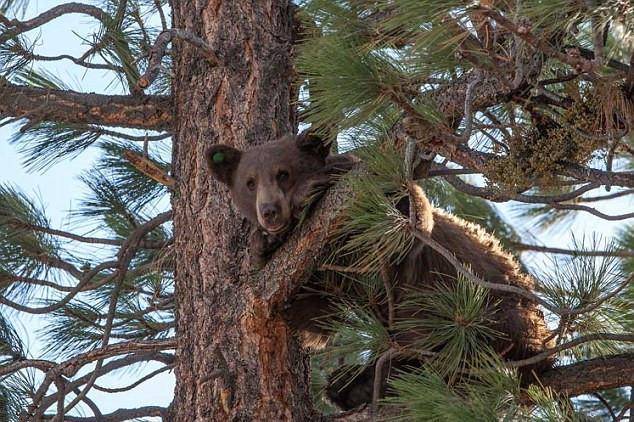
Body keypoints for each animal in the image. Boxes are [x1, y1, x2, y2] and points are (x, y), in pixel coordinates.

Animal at [205, 131, 552, 408]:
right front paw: (263, 245)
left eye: (283, 173)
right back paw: (351, 385)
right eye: (249, 182)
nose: (270, 212)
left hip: (488, 306)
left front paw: (313, 187)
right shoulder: (322, 268)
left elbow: (410, 216)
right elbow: (314, 314)